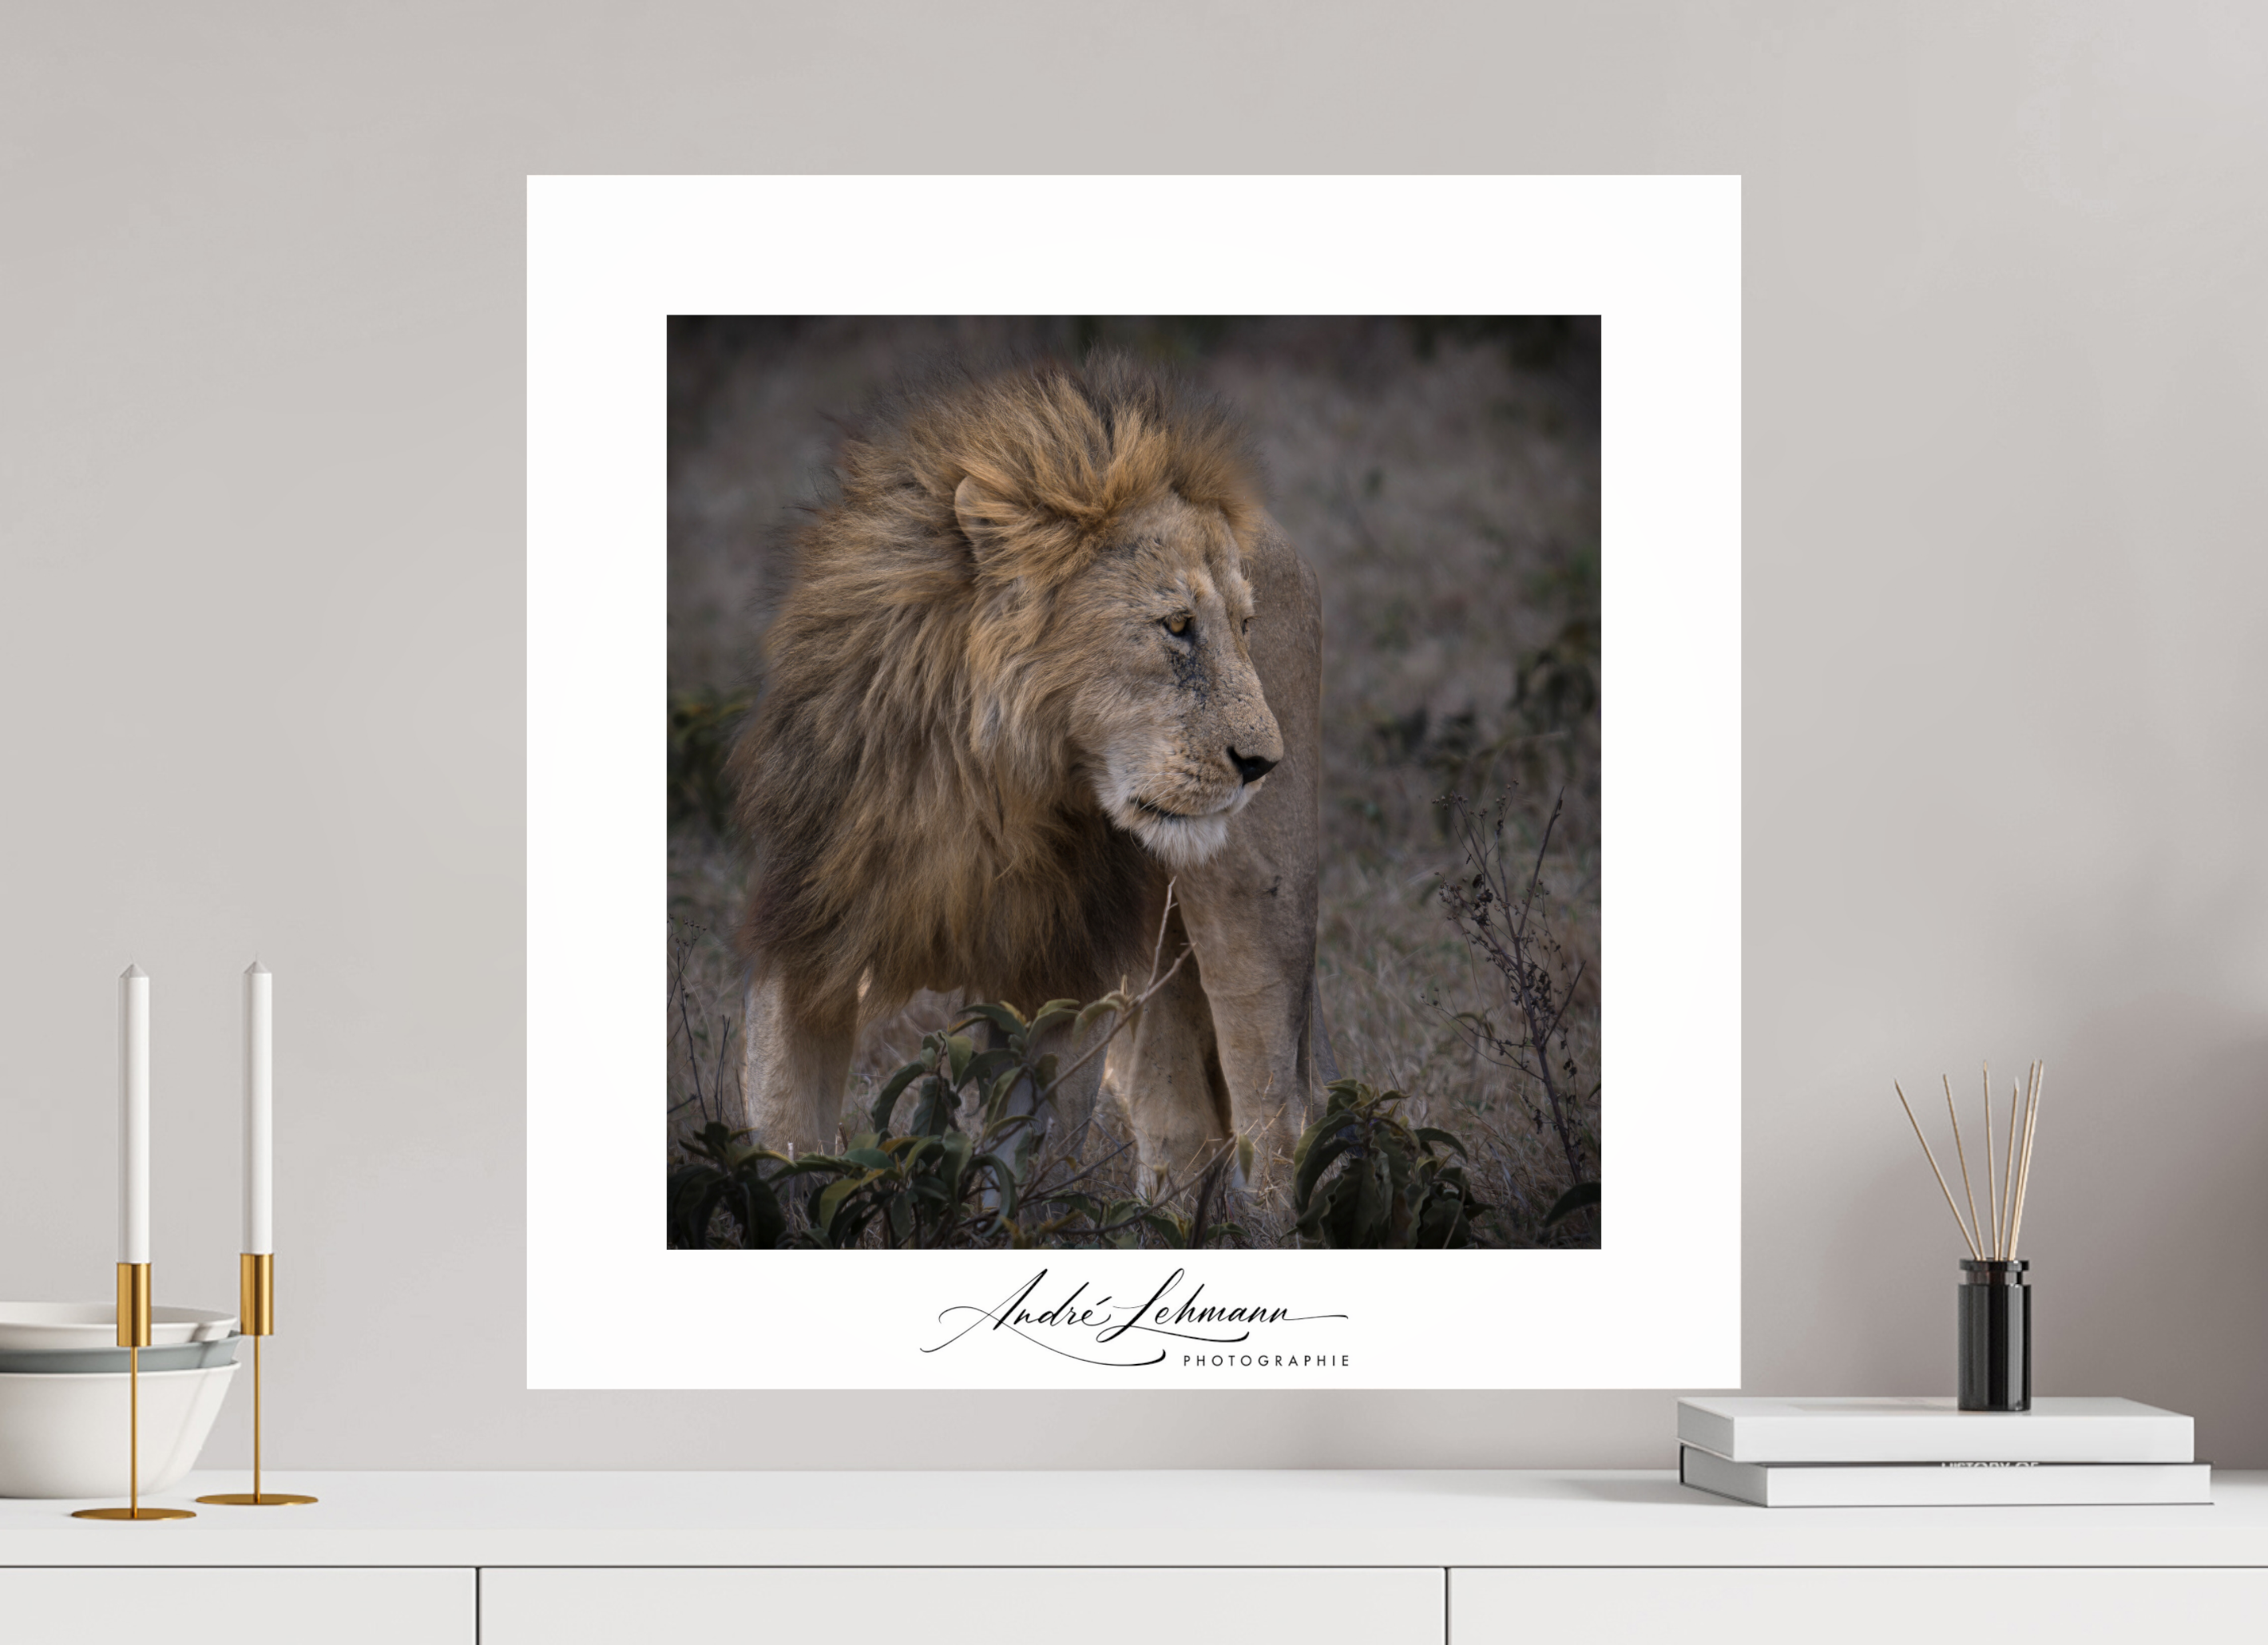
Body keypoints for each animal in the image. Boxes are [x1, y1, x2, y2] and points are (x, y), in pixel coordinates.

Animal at [728, 355, 1325, 1188]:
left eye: (1245, 628)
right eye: (1177, 625)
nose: (1263, 763)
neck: (978, 786)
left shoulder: (1055, 971)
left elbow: (1015, 1164)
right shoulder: (808, 930)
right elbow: (785, 1140)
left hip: (1258, 907)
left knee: (1272, 1112)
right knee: (1181, 1119)